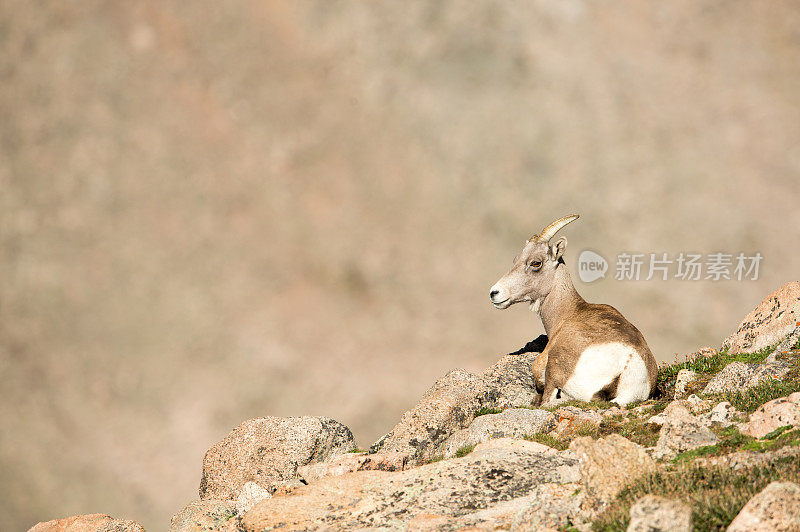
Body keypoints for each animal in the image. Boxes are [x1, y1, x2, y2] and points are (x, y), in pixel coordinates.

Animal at [490, 214, 660, 406]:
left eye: (535, 263)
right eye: (516, 259)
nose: (495, 293)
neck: (568, 312)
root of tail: (626, 367)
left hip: (555, 376)